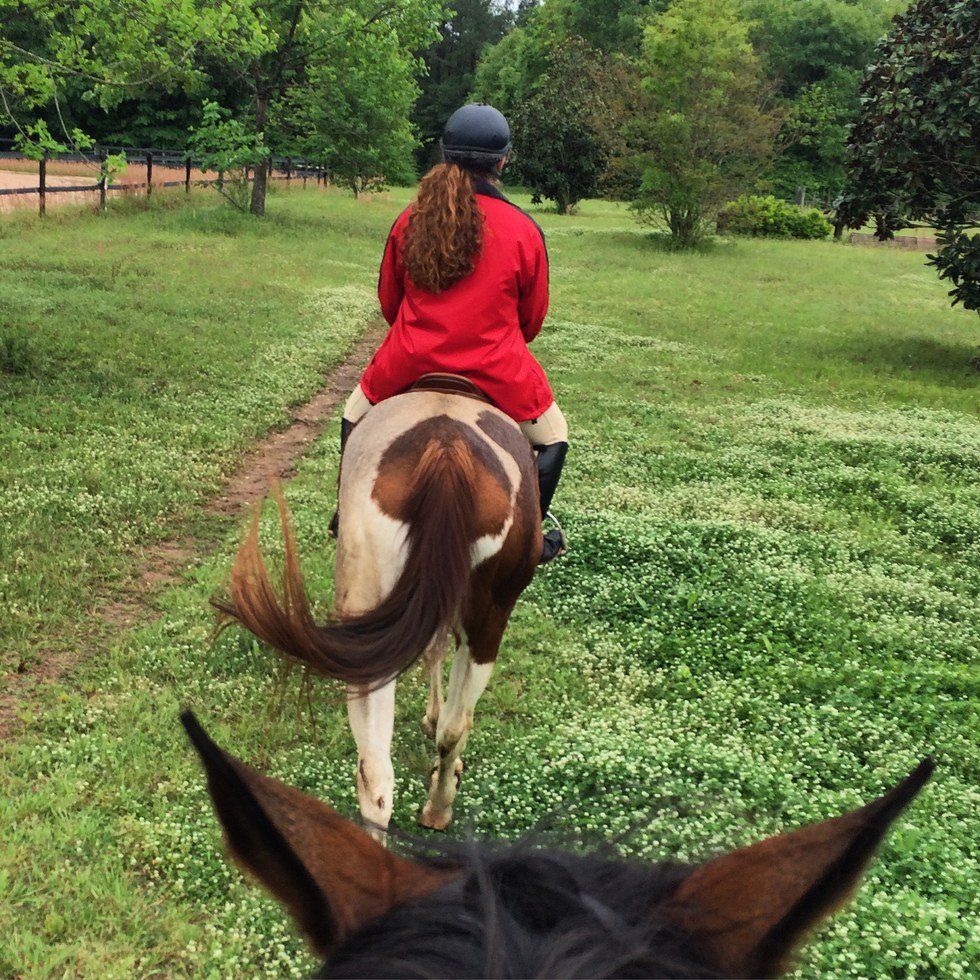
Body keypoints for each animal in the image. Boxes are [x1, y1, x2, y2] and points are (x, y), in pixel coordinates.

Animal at [217, 386, 540, 832]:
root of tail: (446, 451)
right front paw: (432, 718)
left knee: (376, 773)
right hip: (487, 617)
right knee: (454, 729)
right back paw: (438, 807)